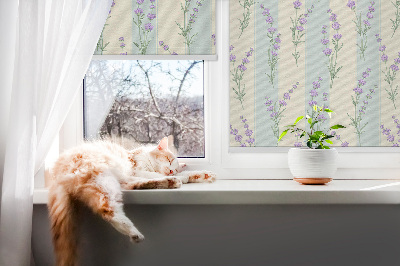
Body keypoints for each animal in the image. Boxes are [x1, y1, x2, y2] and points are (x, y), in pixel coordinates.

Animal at [48, 137, 216, 266]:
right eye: (169, 160)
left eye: (174, 166)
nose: (171, 171)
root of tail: (56, 172)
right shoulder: (136, 170)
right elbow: (153, 174)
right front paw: (183, 176)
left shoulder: (134, 174)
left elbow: (184, 174)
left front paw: (203, 175)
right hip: (103, 178)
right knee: (107, 209)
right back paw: (134, 232)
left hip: (114, 182)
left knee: (134, 186)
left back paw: (170, 182)